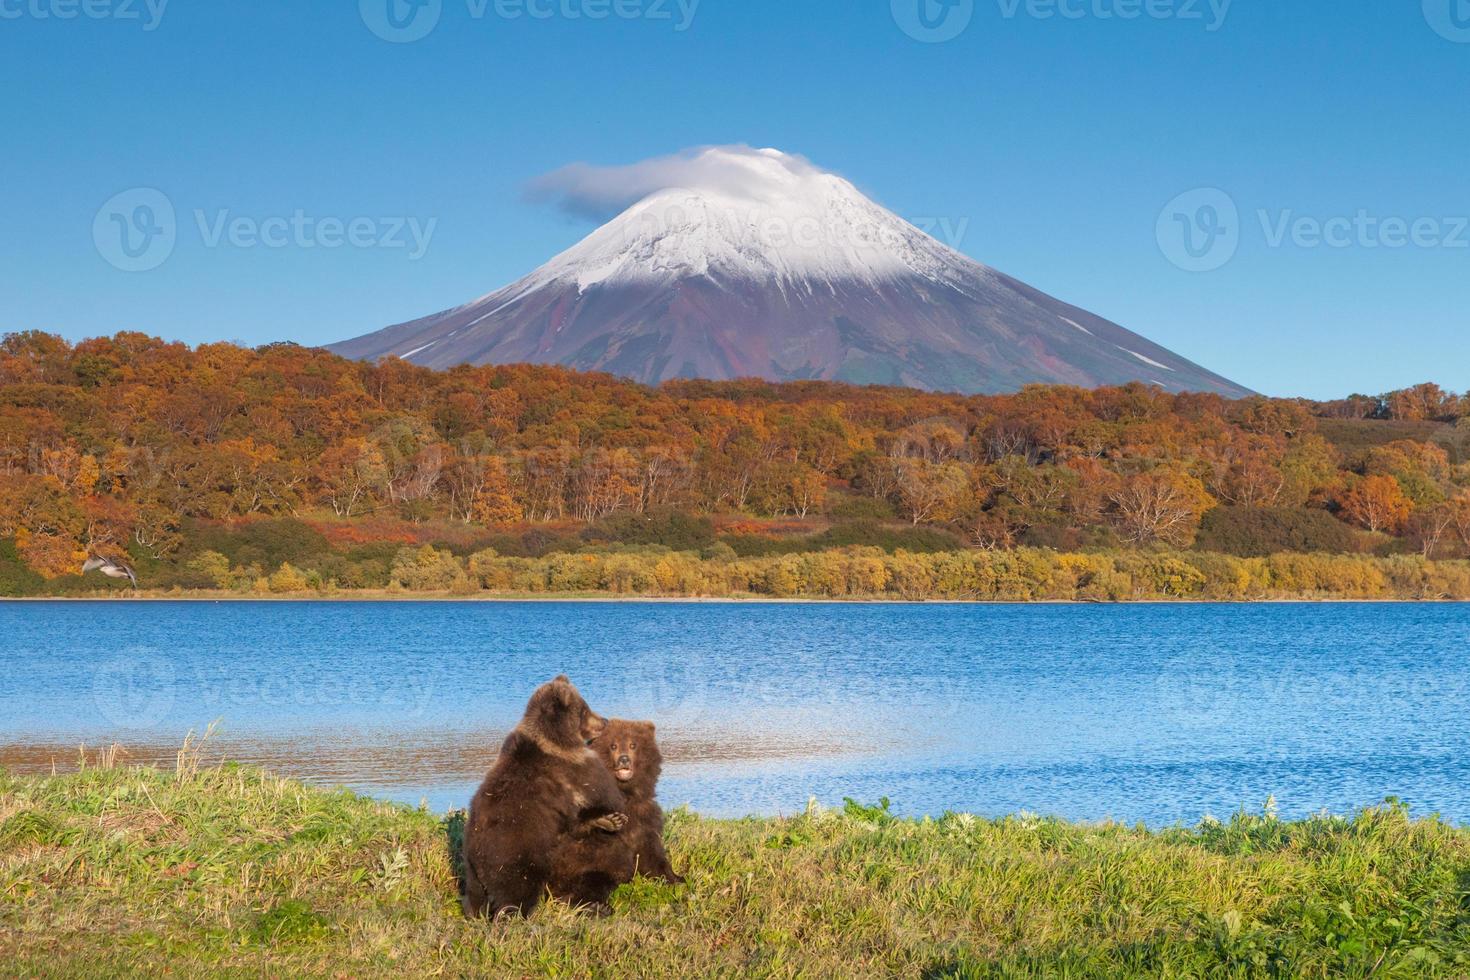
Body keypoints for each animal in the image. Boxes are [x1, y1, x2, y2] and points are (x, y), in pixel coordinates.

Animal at [455, 675, 623, 922]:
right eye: (583, 710)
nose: (604, 720)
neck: (555, 739)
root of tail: (476, 858)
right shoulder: (574, 773)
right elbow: (598, 798)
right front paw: (610, 818)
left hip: (473, 875)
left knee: (475, 900)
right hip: (517, 856)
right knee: (518, 891)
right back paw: (515, 915)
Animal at [549, 714, 679, 910]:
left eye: (633, 744)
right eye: (613, 745)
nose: (624, 759)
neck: (625, 793)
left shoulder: (644, 817)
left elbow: (652, 854)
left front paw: (677, 879)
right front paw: (606, 820)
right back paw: (595, 906)